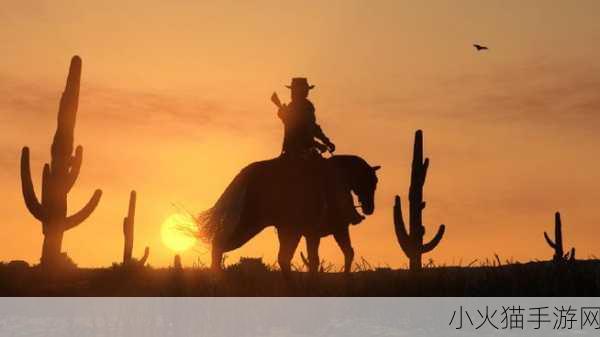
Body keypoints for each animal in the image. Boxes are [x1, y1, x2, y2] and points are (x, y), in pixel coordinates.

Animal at [199, 154, 382, 274]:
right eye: (370, 181)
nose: (369, 208)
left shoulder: (312, 234)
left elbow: (317, 258)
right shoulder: (337, 229)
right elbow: (344, 253)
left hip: (281, 230)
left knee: (283, 259)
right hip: (249, 224)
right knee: (219, 244)